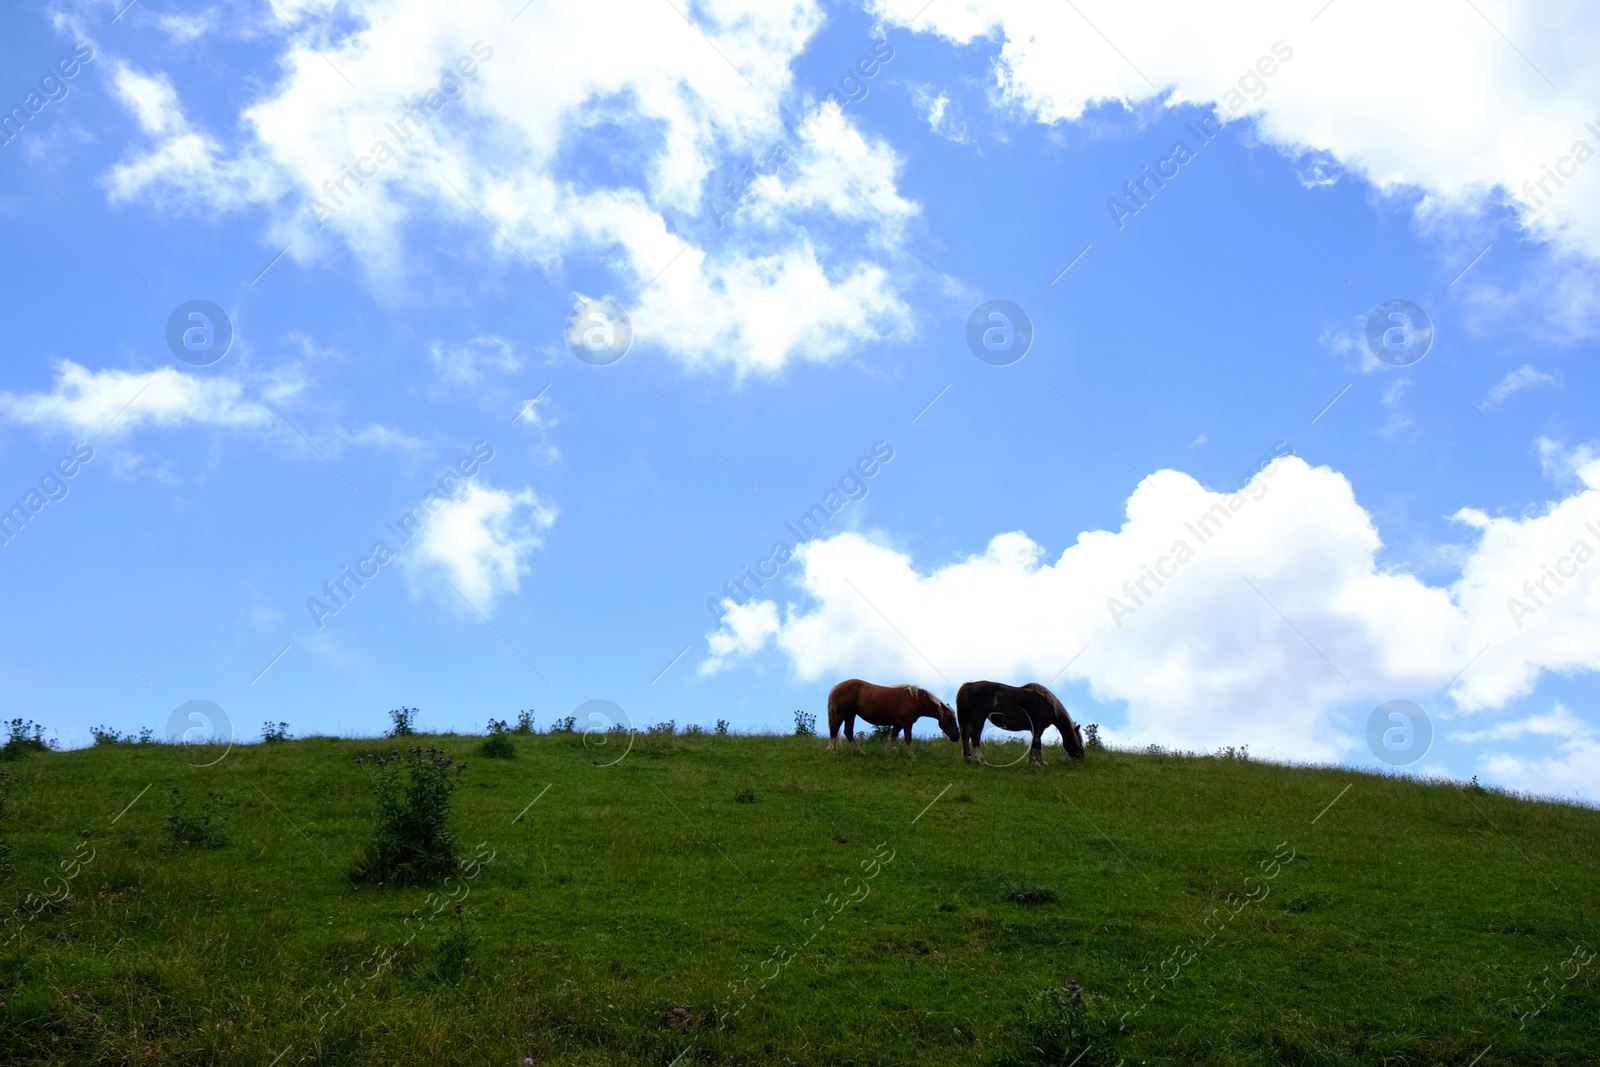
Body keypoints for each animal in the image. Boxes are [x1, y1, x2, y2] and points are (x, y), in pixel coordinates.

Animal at [953, 684, 1094, 767]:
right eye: (1078, 740)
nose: (1082, 757)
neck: (1050, 705)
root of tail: (970, 685)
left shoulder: (1035, 728)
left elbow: (1035, 745)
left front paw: (1039, 762)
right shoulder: (1039, 727)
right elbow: (1037, 745)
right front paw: (1036, 764)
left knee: (966, 737)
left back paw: (968, 759)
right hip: (979, 718)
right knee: (975, 737)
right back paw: (980, 761)